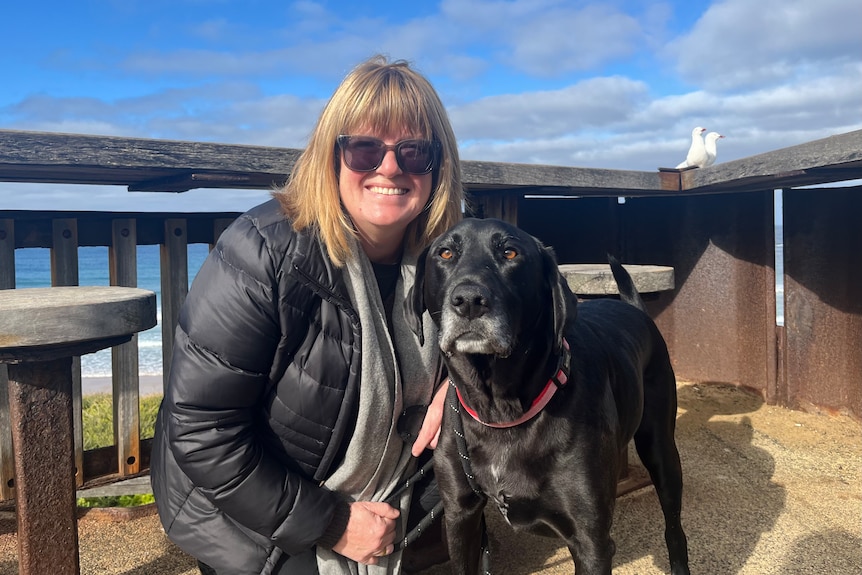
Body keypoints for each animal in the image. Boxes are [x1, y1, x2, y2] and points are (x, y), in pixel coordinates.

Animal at [406, 218, 696, 572]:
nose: (469, 300)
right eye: (445, 252)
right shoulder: (461, 517)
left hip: (661, 449)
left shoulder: (591, 542)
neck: (501, 413)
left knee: (674, 526)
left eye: (510, 252)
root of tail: (635, 309)